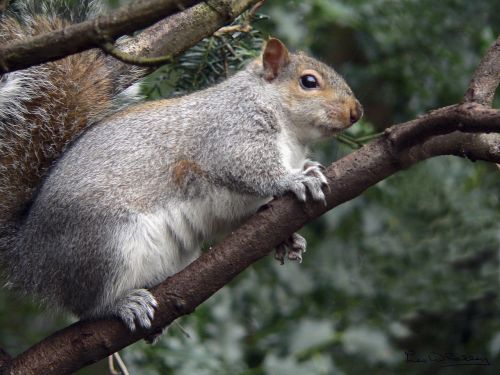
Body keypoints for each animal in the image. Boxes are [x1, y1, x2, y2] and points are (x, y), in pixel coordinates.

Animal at [0, 2, 360, 332]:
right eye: (309, 82)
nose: (356, 111)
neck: (291, 134)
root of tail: (28, 255)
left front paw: (289, 236)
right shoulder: (231, 131)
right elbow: (248, 169)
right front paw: (295, 180)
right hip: (103, 243)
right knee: (86, 307)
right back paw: (122, 304)